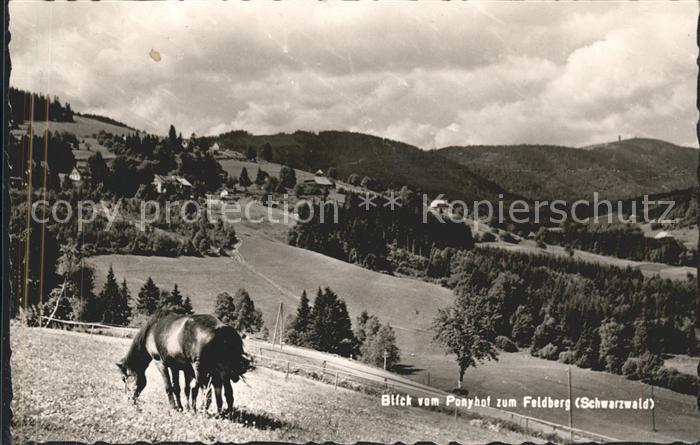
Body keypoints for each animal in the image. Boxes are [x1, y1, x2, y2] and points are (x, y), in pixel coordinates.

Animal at [116, 311, 251, 415]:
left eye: (124, 378)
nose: (129, 399)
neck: (152, 329)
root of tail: (221, 327)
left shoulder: (160, 363)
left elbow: (168, 386)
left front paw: (174, 407)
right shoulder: (175, 366)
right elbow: (177, 388)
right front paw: (181, 407)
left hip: (201, 368)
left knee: (204, 390)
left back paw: (201, 410)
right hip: (222, 369)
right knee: (227, 392)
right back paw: (224, 412)